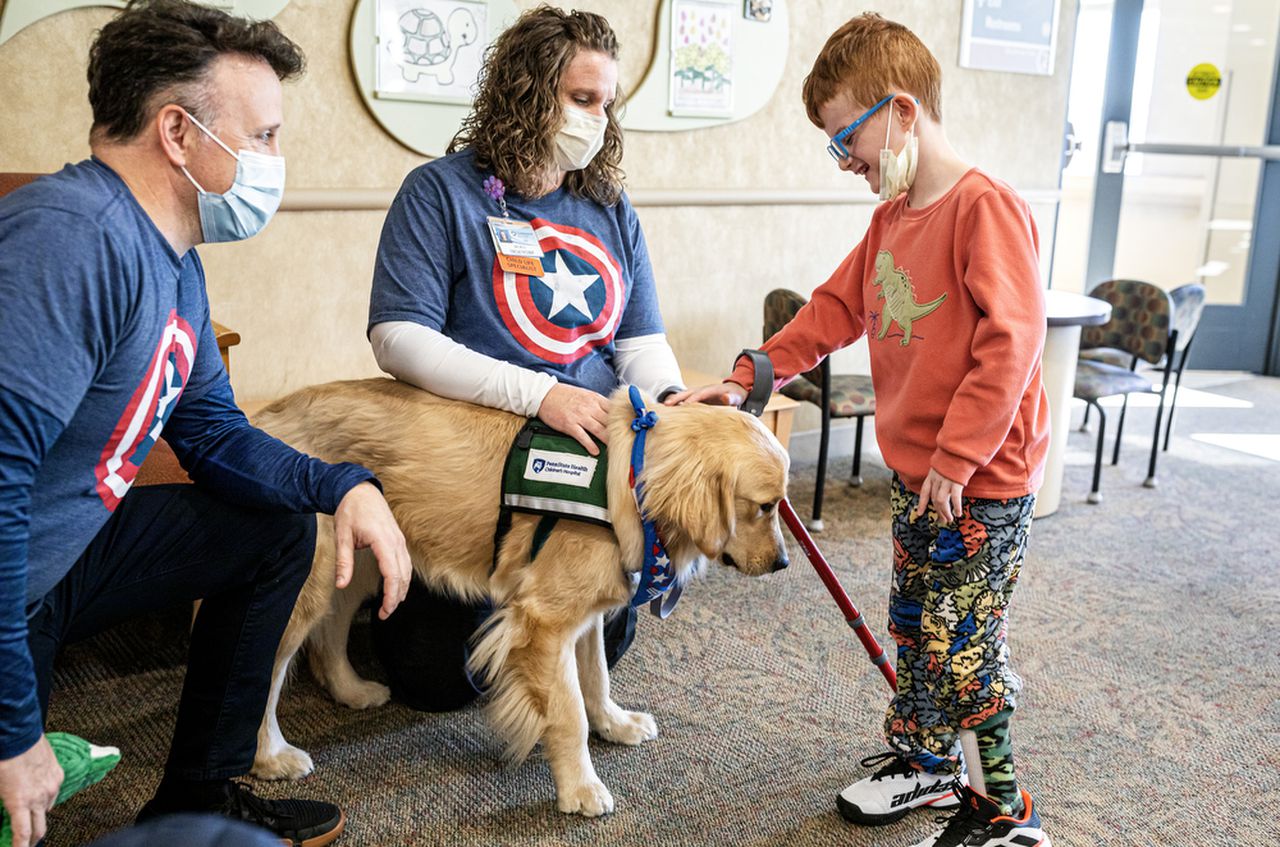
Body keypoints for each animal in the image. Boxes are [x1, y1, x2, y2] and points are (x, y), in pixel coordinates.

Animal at [247, 378, 788, 818]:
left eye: (780, 504)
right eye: (764, 506)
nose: (784, 563)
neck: (632, 483)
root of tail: (265, 417)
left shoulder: (583, 615)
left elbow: (597, 678)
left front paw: (614, 724)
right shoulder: (543, 623)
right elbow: (568, 713)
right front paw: (580, 788)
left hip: (366, 558)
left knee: (329, 632)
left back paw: (350, 689)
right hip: (311, 579)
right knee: (268, 673)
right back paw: (270, 756)